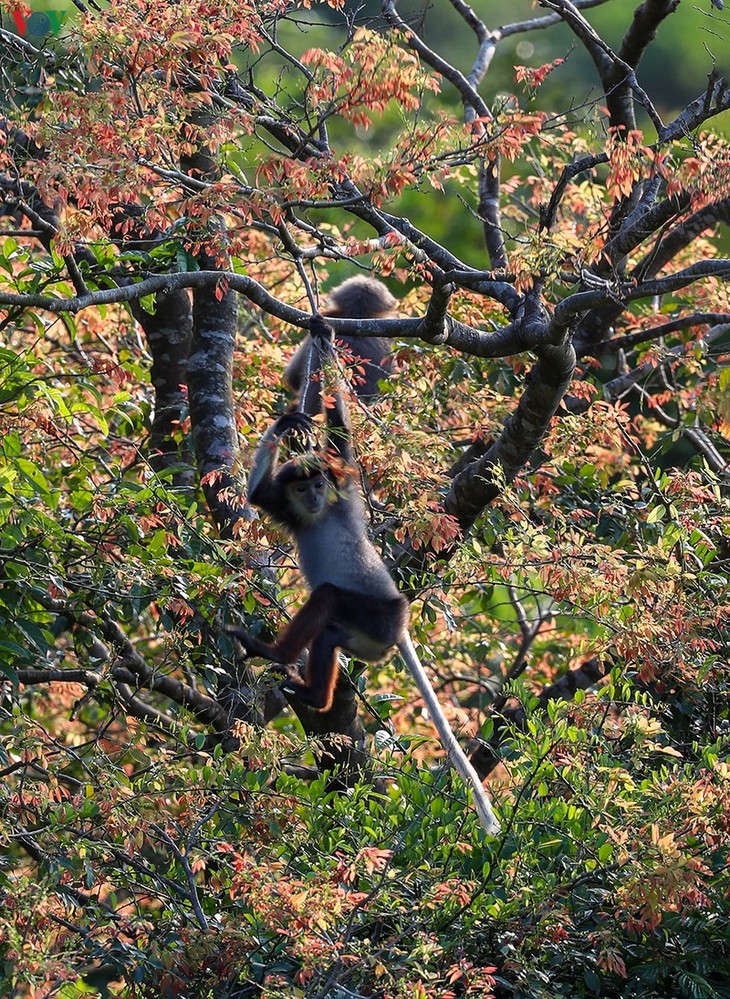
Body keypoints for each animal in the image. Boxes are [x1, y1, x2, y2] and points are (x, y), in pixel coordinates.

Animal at [230, 314, 498, 836]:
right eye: (303, 487)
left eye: (319, 483)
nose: (316, 493)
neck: (314, 516)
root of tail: (400, 624)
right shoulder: (286, 508)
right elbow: (255, 496)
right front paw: (286, 423)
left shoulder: (343, 485)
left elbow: (343, 440)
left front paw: (324, 335)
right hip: (366, 639)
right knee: (329, 634)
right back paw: (313, 694)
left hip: (379, 616)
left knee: (329, 597)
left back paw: (275, 655)